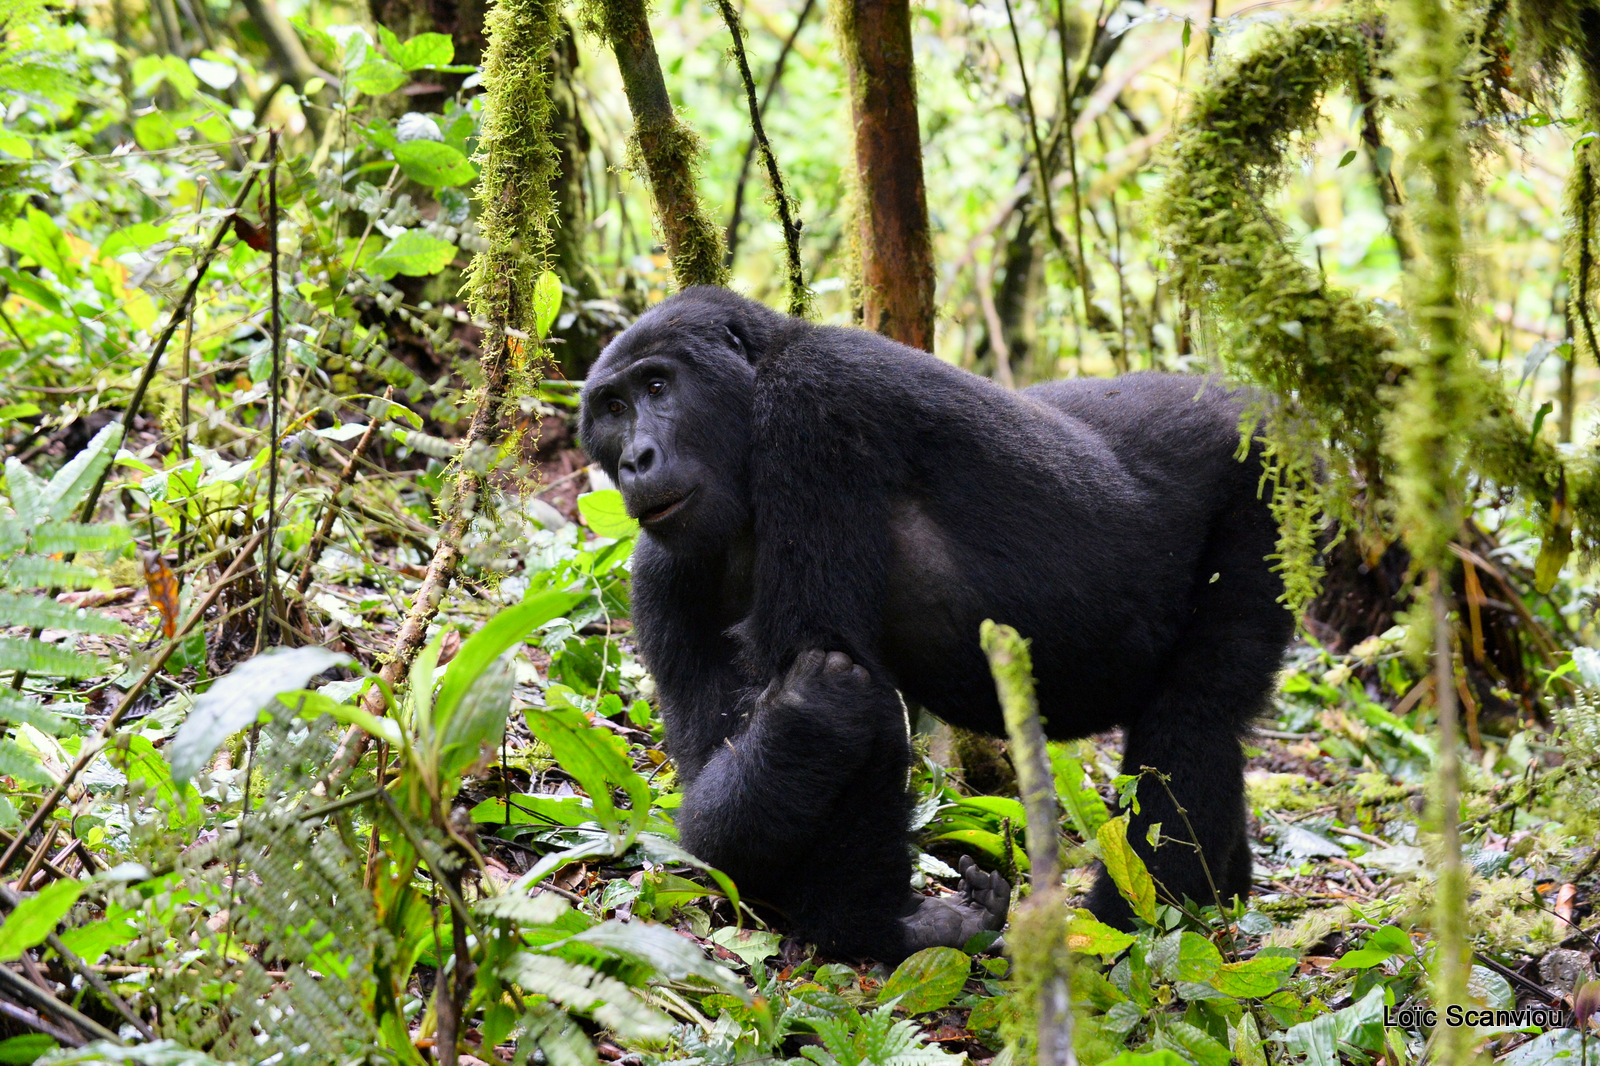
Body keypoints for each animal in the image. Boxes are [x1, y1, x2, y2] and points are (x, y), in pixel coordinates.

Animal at [582, 286, 1292, 960]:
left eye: (657, 386)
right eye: (612, 410)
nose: (636, 460)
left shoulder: (814, 404)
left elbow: (842, 678)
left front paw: (868, 927)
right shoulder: (663, 569)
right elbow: (719, 794)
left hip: (1262, 488)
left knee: (1194, 715)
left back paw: (1132, 922)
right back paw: (1217, 895)